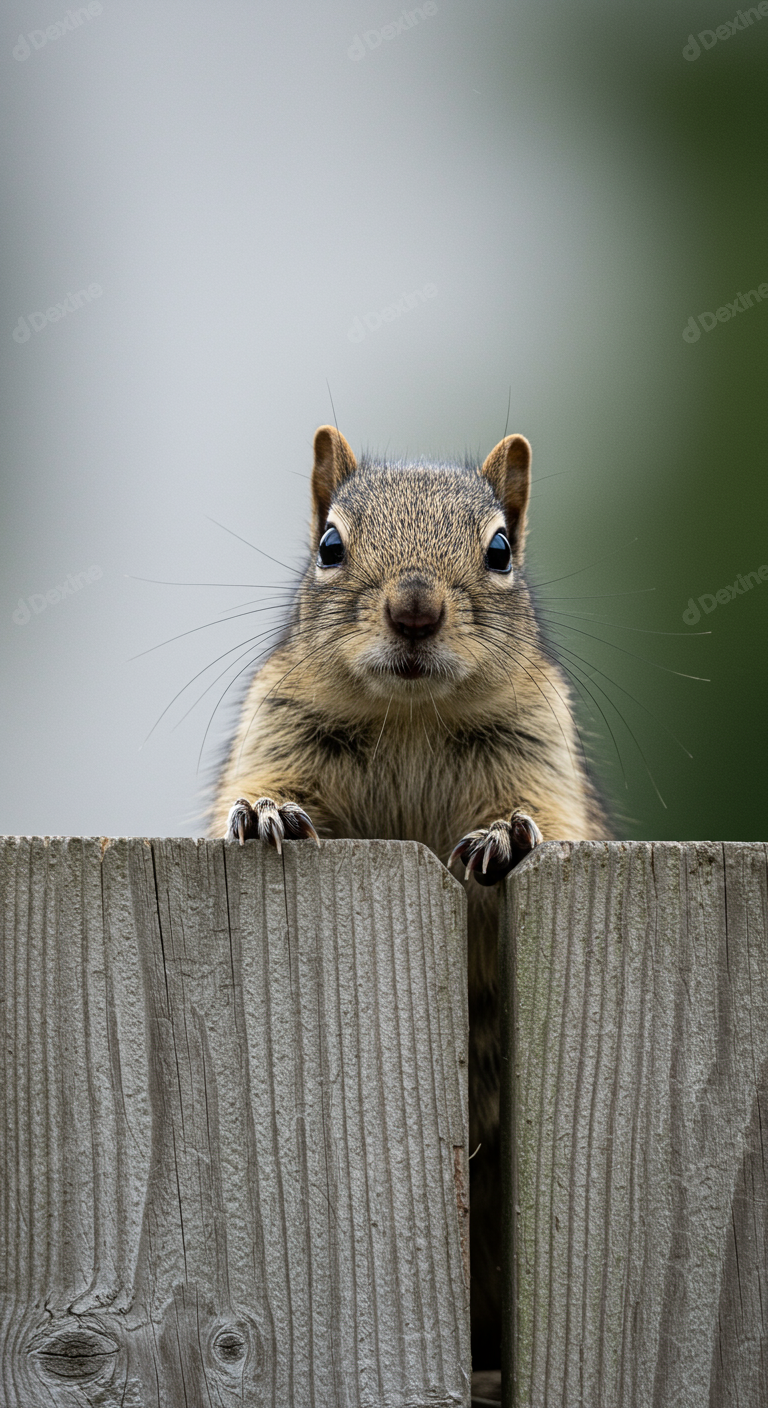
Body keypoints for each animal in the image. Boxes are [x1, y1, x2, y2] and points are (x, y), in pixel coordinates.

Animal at [212, 424, 609, 1368]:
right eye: (329, 544)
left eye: (500, 551)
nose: (416, 609)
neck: (412, 716)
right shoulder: (275, 730)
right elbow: (256, 793)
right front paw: (265, 812)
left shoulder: (545, 762)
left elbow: (545, 825)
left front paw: (508, 838)